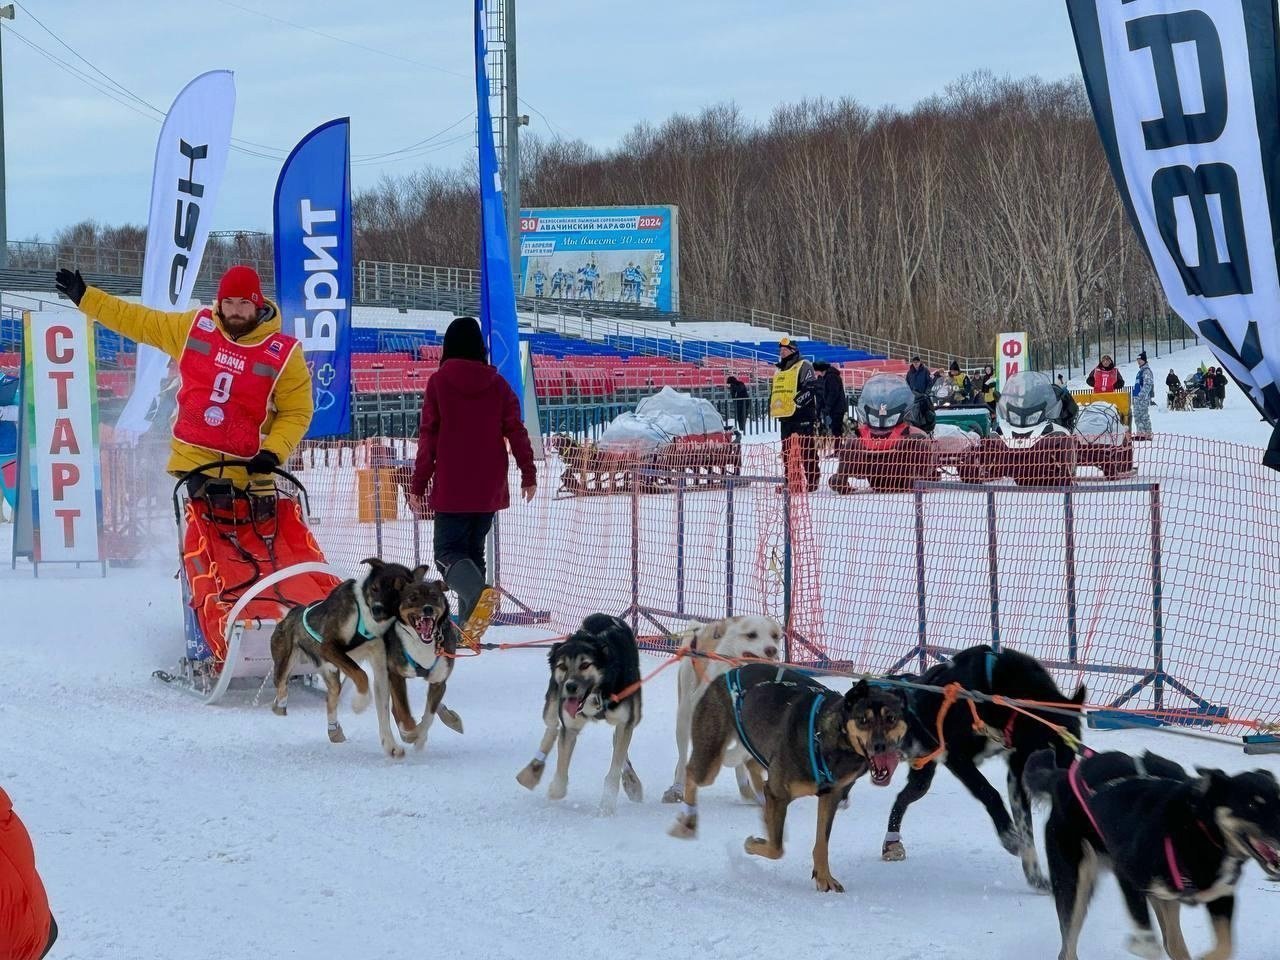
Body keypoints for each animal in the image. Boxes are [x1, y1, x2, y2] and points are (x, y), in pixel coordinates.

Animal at [267, 555, 422, 757]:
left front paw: (390, 745)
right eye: (375, 588)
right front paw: (359, 703)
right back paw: (280, 705)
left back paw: (334, 731)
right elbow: (362, 675)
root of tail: (290, 613)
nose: (377, 610)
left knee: (330, 698)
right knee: (282, 687)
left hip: (331, 674)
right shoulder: (329, 647)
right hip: (285, 665)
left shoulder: (380, 667)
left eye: (398, 592)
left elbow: (384, 710)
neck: (367, 619)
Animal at [389, 570, 471, 752]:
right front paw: (410, 733)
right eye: (413, 597)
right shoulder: (395, 675)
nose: (428, 609)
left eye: (434, 596)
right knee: (395, 709)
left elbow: (429, 717)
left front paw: (420, 738)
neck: (422, 644)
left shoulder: (439, 681)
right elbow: (402, 710)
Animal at [514, 619, 645, 814]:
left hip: (635, 716)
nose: (570, 686)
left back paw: (632, 782)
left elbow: (615, 767)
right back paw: (532, 770)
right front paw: (555, 789)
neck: (599, 692)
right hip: (552, 703)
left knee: (618, 742)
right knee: (552, 727)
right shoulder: (570, 727)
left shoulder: (625, 722)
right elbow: (561, 770)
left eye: (585, 665)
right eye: (562, 666)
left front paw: (607, 804)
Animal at [665, 616, 783, 803]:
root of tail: (702, 628)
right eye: (751, 635)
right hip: (684, 715)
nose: (771, 650)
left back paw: (746, 789)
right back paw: (677, 787)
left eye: (775, 636)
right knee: (683, 756)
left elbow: (743, 750)